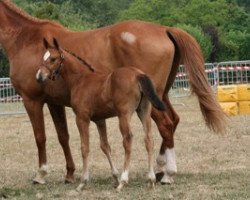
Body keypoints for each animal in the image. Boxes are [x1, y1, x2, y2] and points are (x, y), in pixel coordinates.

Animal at [36, 38, 166, 191]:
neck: (80, 80)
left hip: (124, 114)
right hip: (143, 111)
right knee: (149, 139)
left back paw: (124, 181)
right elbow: (105, 146)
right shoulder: (100, 120)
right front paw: (114, 177)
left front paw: (83, 182)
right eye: (43, 57)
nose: (39, 76)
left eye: (53, 59)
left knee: (128, 139)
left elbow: (85, 147)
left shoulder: (82, 118)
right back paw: (151, 180)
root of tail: (138, 75)